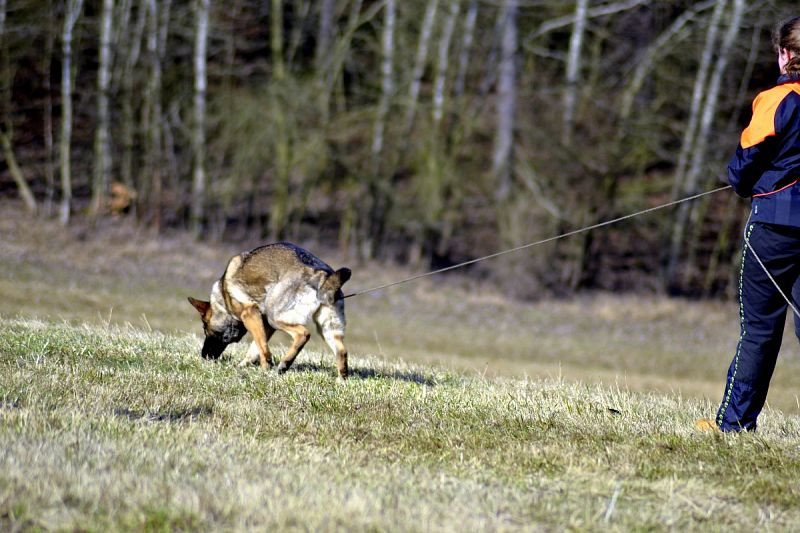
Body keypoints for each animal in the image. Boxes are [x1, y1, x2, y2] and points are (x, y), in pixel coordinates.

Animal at [189, 243, 352, 376]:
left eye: (205, 328)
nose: (203, 355)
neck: (223, 299)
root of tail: (320, 275)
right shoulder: (265, 325)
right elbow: (255, 349)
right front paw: (243, 366)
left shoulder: (250, 315)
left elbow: (262, 347)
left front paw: (264, 369)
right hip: (328, 329)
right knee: (342, 351)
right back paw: (340, 381)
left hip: (275, 318)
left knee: (303, 334)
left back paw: (284, 364)